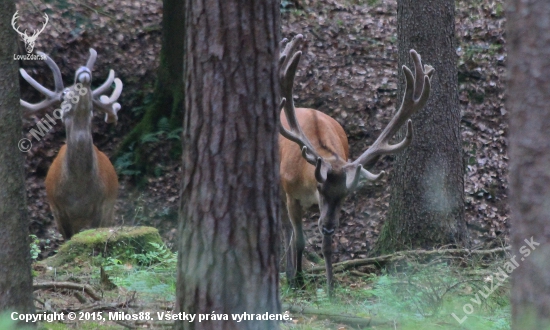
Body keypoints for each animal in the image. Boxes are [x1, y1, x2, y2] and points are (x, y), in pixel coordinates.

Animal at [20, 48, 123, 240]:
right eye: (64, 95)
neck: (79, 192)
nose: (83, 70)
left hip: (111, 207)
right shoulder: (59, 210)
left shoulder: (103, 206)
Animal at [280, 35, 436, 294]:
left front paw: (331, 289)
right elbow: (298, 238)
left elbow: (326, 246)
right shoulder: (291, 193)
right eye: (320, 187)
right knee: (286, 229)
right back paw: (289, 273)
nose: (329, 227)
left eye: (345, 194)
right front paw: (298, 281)